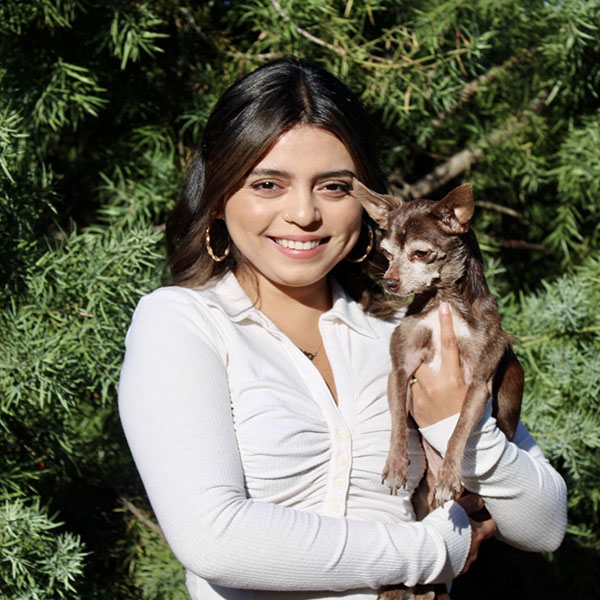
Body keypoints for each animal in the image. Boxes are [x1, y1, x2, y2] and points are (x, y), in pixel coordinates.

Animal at [350, 182, 524, 600]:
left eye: (421, 253)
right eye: (386, 255)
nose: (389, 282)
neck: (443, 302)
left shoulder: (477, 383)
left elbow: (459, 429)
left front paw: (448, 475)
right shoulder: (400, 370)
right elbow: (398, 421)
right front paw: (396, 463)